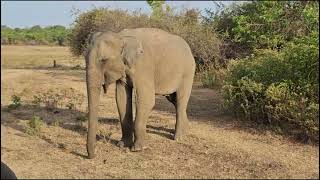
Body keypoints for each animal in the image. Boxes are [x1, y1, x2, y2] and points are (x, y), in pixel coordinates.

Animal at [85, 27, 195, 158]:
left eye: (104, 60)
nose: (95, 154)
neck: (121, 36)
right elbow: (121, 98)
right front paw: (122, 145)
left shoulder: (144, 66)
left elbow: (146, 100)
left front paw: (138, 149)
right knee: (174, 100)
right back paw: (186, 131)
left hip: (188, 73)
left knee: (180, 100)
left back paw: (178, 138)